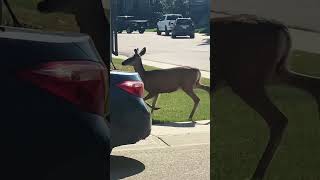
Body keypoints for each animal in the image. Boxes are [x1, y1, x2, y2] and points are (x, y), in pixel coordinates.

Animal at [211, 14, 320, 180]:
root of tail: (282, 29)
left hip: (245, 78)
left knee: (278, 119)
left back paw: (256, 175)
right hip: (274, 72)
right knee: (314, 86)